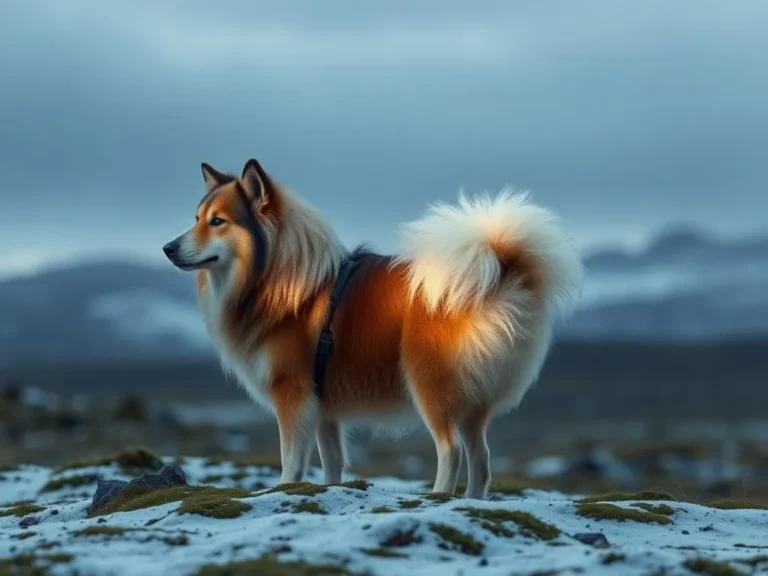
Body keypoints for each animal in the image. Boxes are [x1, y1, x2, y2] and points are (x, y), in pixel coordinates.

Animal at [164, 159, 584, 500]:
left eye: (218, 221)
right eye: (196, 218)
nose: (168, 247)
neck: (278, 278)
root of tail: (499, 270)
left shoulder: (293, 396)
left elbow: (291, 460)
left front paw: (284, 489)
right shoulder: (324, 409)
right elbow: (332, 462)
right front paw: (328, 491)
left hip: (430, 384)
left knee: (450, 451)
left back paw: (437, 497)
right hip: (472, 403)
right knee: (481, 459)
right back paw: (471, 503)